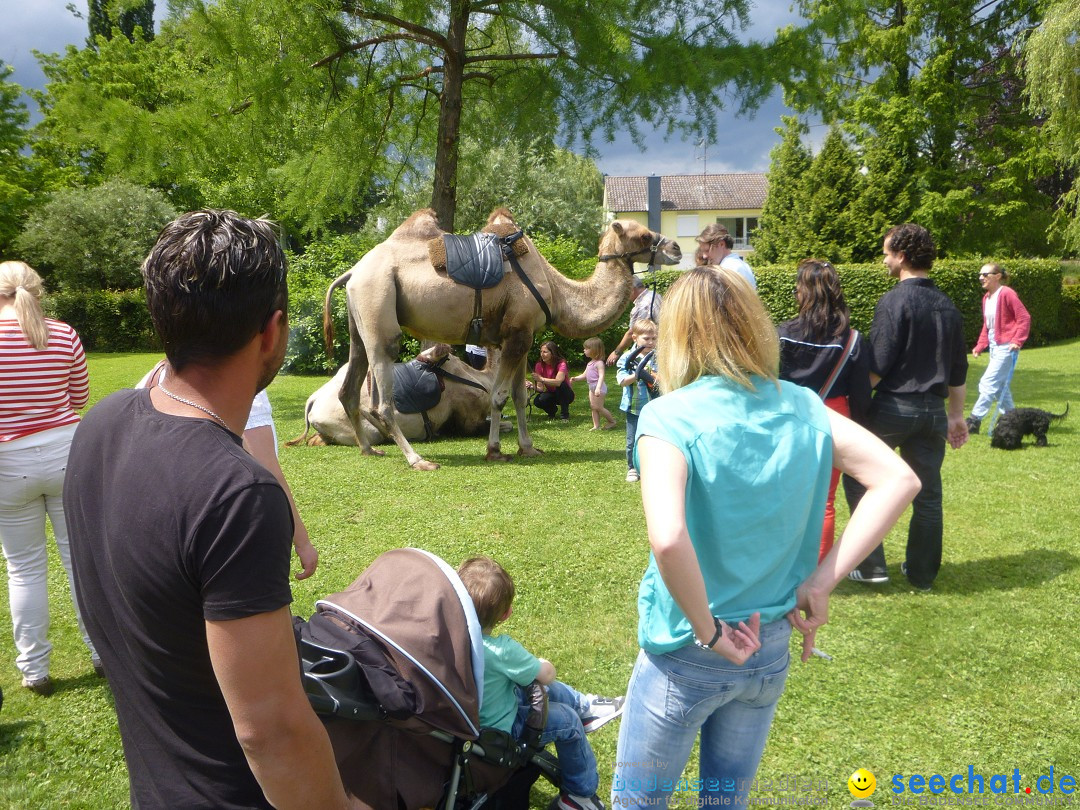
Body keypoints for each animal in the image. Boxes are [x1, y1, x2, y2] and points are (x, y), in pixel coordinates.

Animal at [321, 206, 682, 468]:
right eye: (643, 234)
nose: (677, 247)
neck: (557, 290)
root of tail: (352, 272)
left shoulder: (521, 336)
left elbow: (521, 397)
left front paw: (528, 448)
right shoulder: (517, 335)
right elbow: (498, 396)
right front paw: (494, 450)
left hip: (359, 323)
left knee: (350, 385)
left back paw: (370, 450)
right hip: (378, 306)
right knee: (382, 396)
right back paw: (417, 460)